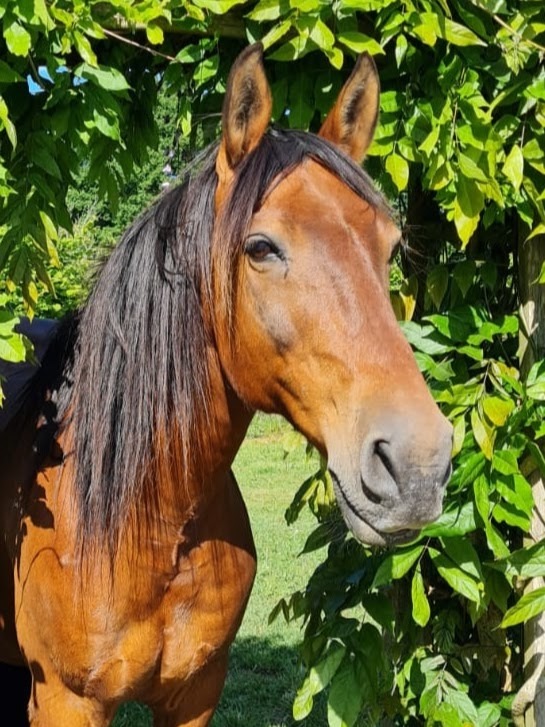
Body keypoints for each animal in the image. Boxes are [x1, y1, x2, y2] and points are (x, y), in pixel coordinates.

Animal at [0, 44, 453, 726]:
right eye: (261, 247)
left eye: (391, 247)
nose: (419, 464)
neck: (151, 525)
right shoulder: (64, 701)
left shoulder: (196, 695)